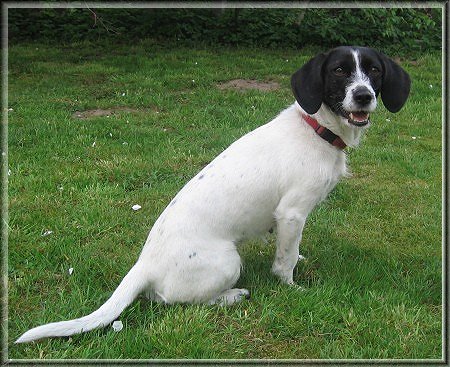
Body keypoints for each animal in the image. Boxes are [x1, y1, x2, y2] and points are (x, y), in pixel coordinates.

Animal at [15, 46, 412, 344]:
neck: (316, 129)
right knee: (182, 302)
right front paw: (292, 288)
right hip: (228, 261)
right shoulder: (292, 213)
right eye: (340, 71)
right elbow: (284, 261)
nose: (364, 96)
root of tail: (144, 265)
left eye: (374, 70)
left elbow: (290, 251)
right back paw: (233, 296)